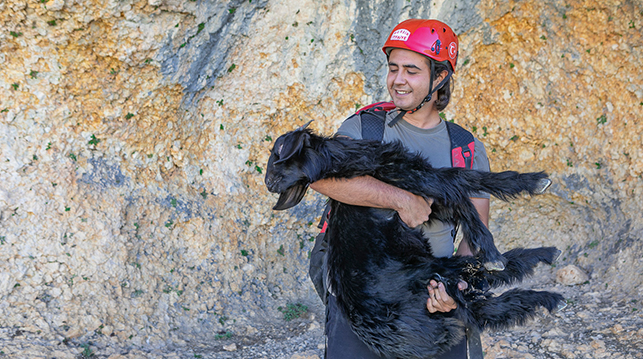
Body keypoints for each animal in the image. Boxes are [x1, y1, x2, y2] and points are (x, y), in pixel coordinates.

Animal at [264, 124, 568, 359]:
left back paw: (544, 255)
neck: (344, 162)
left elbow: (473, 180)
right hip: (434, 272)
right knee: (486, 293)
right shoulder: (424, 183)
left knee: (483, 293)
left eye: (277, 155)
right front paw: (492, 245)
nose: (268, 184)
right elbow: (466, 190)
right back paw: (544, 290)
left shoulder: (429, 197)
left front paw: (531, 182)